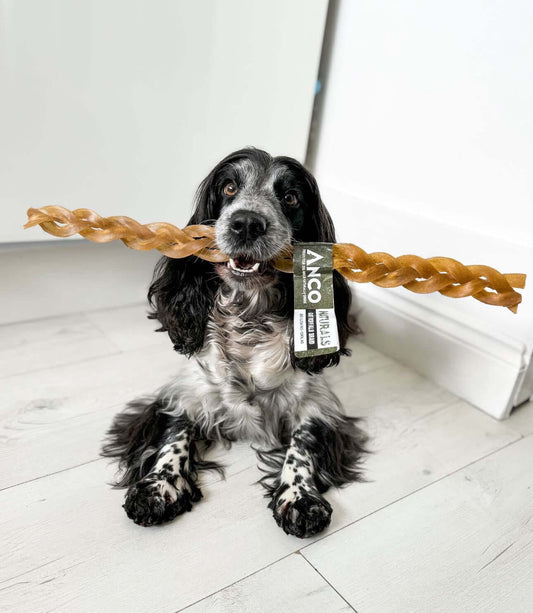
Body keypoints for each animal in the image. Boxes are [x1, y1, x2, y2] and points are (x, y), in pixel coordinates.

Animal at [101, 147, 366, 536]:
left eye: (290, 197)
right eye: (228, 187)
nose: (247, 223)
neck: (247, 317)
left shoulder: (316, 403)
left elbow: (302, 443)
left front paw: (300, 496)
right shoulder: (184, 393)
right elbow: (174, 433)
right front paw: (158, 486)